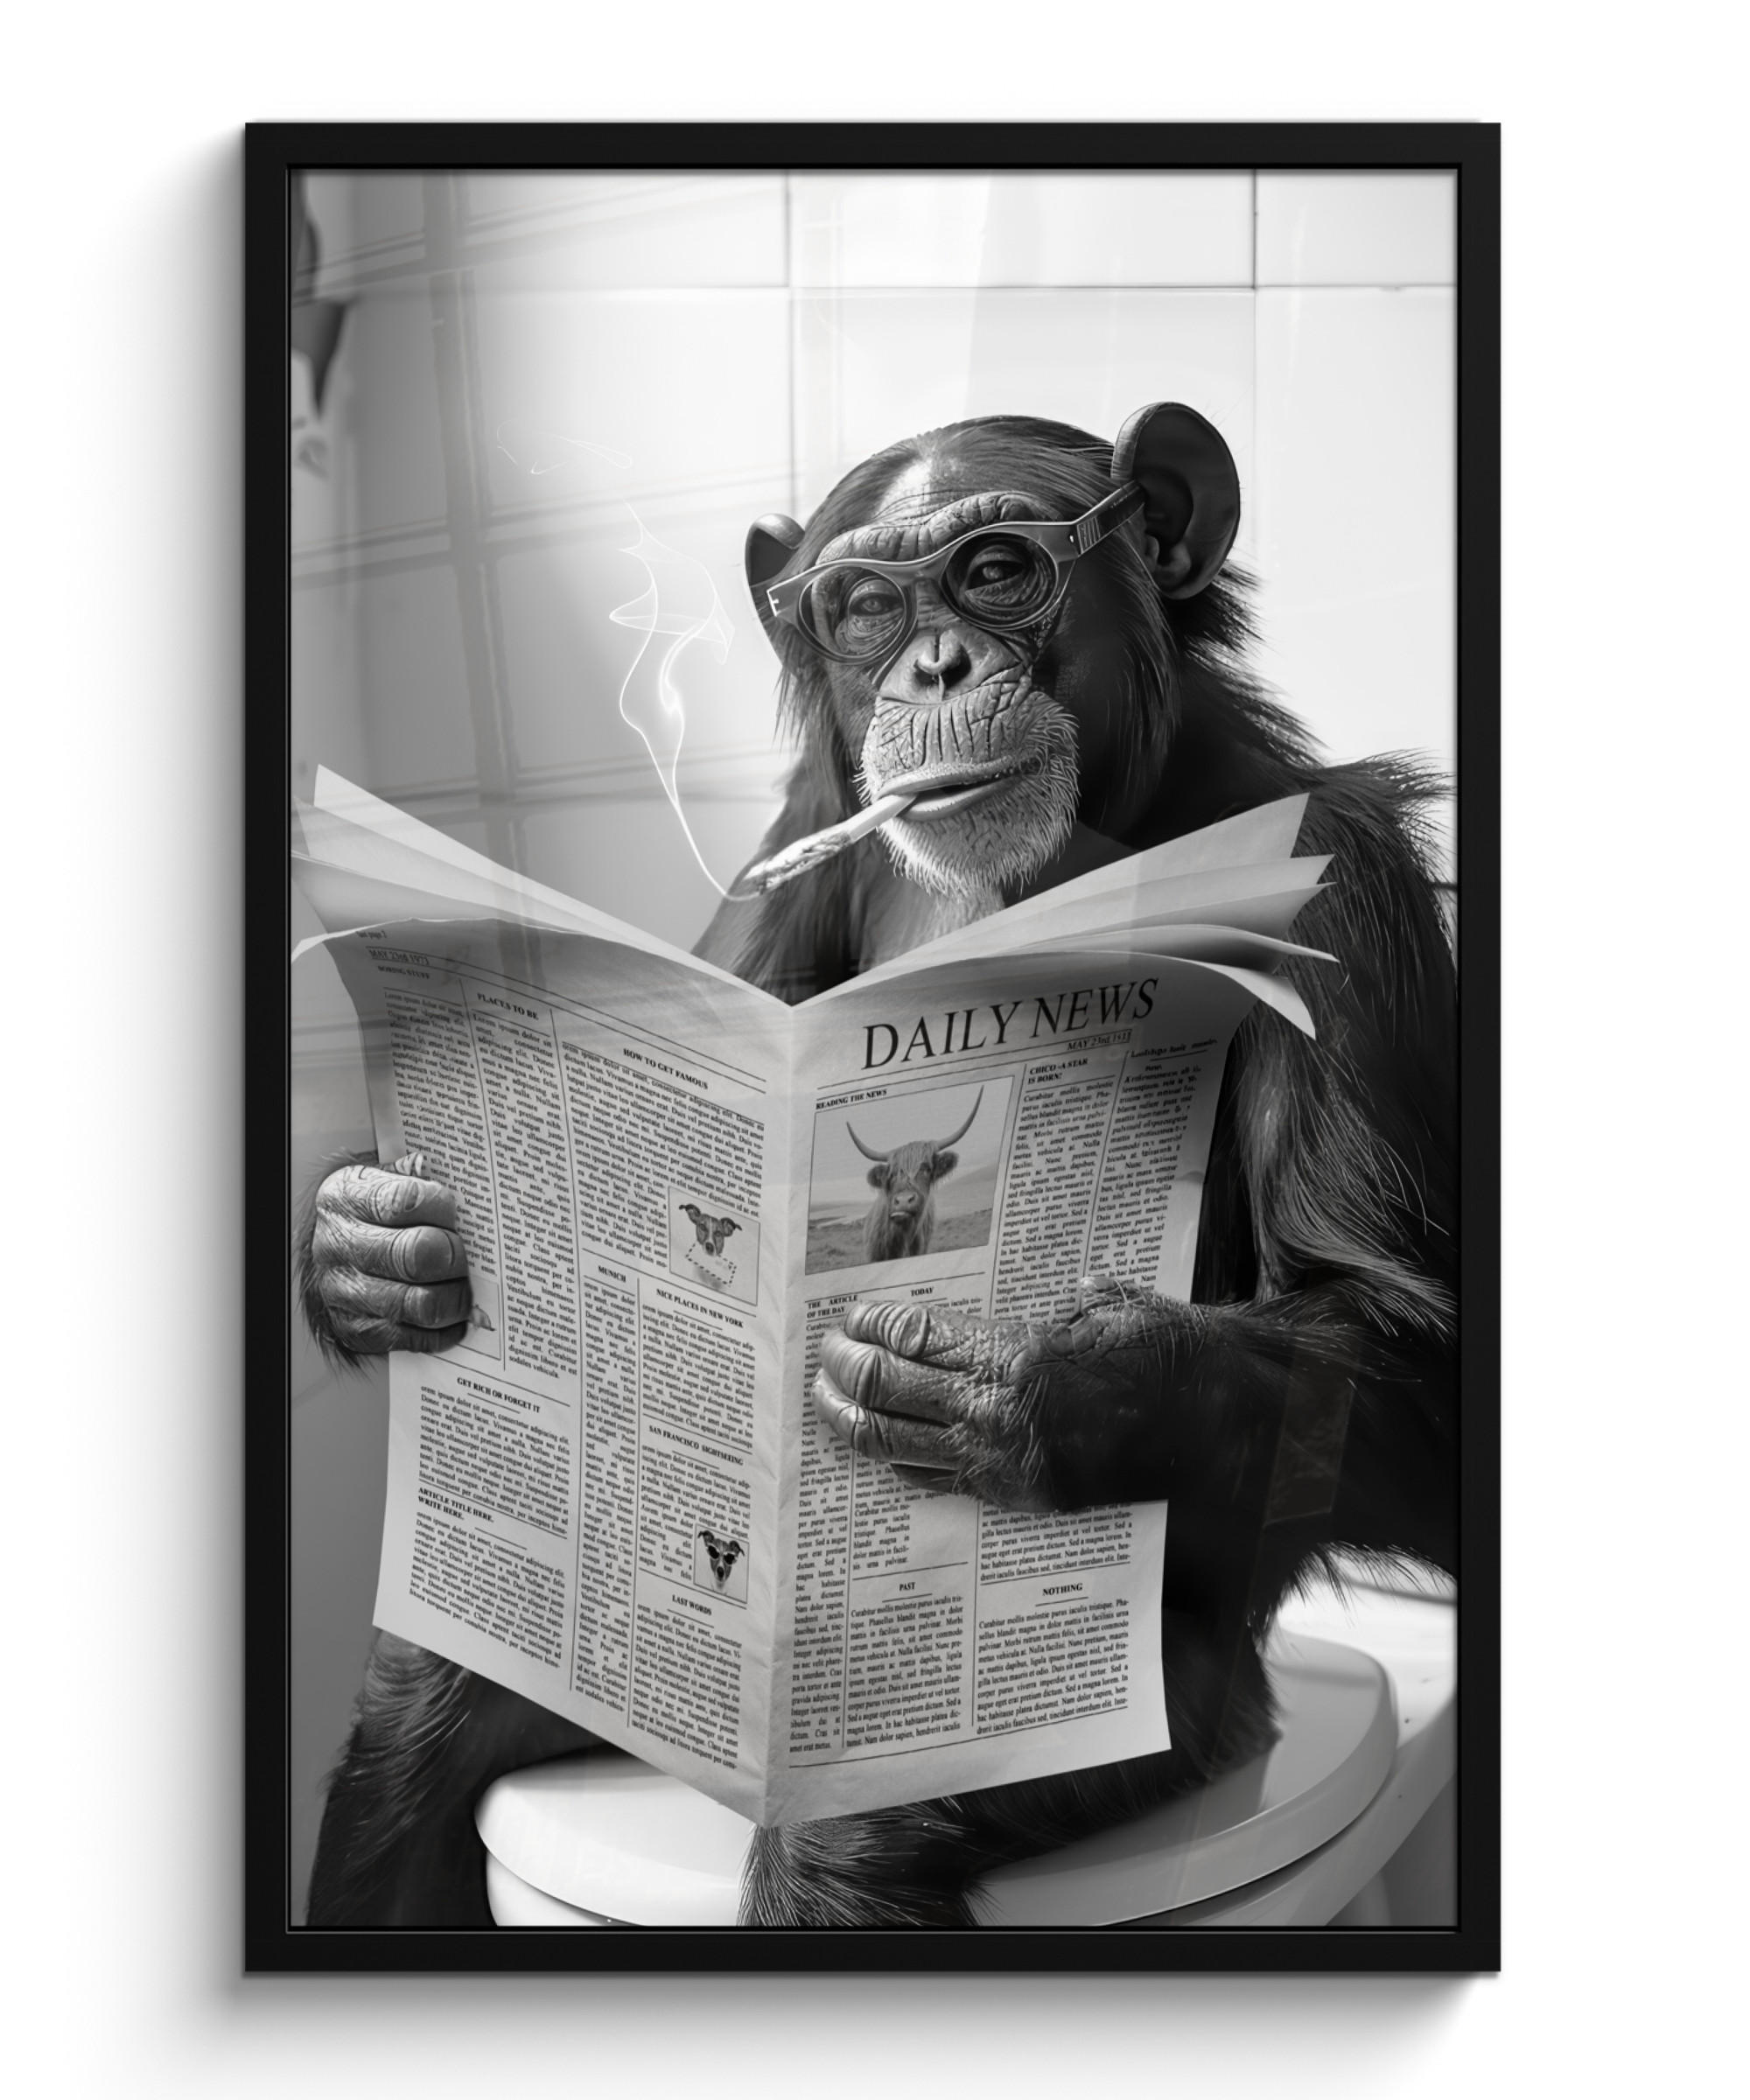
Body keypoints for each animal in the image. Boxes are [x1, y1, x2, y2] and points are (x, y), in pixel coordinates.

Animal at [299, 403, 1456, 1930]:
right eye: (862, 606)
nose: (936, 663)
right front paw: (376, 1247)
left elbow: (1397, 1335)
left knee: (849, 1839)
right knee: (421, 1711)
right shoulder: (794, 841)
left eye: (996, 569)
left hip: (1186, 1718)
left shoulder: (1347, 884)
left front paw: (1026, 1382)